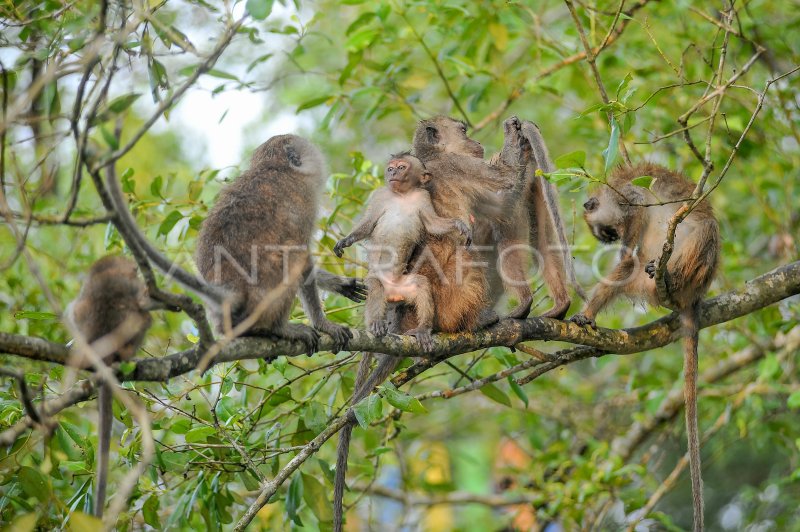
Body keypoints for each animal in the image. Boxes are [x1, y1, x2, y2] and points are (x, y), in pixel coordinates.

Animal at [572, 163, 720, 532]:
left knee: (702, 230)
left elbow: (637, 209)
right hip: (649, 283)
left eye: (610, 233)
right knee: (632, 270)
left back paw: (672, 275)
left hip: (693, 267)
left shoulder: (628, 197)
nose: (615, 240)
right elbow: (626, 263)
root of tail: (694, 295)